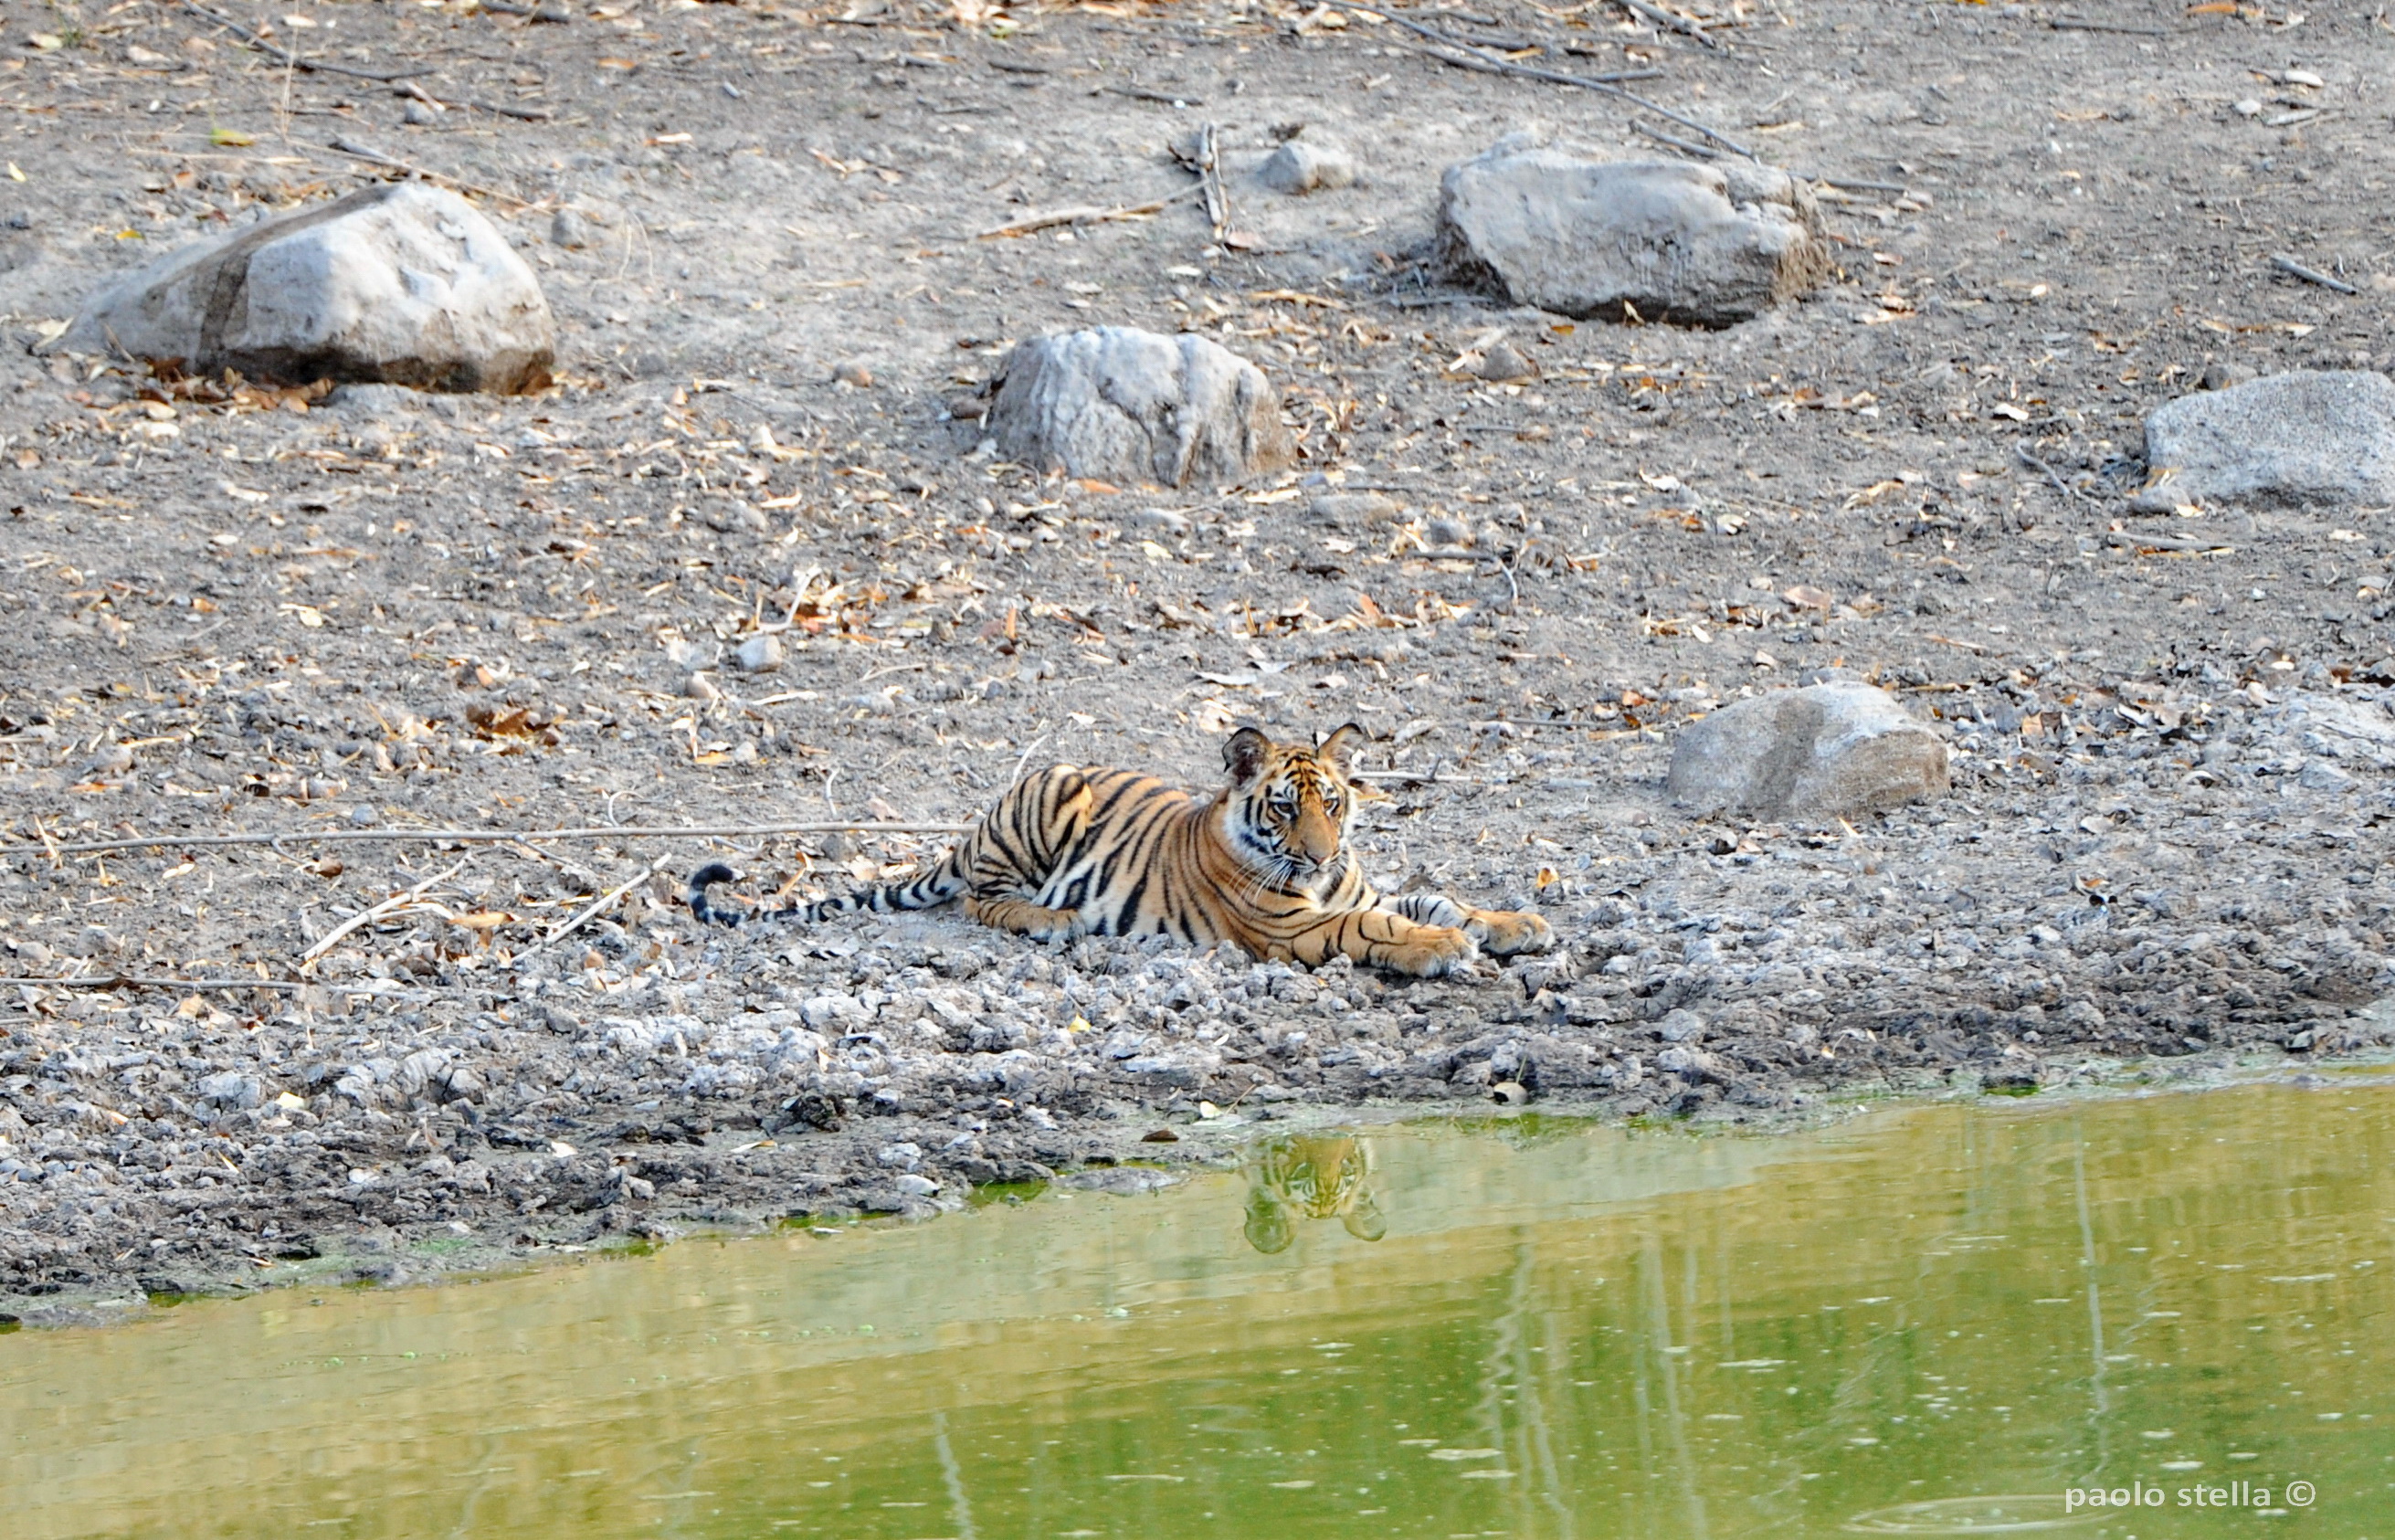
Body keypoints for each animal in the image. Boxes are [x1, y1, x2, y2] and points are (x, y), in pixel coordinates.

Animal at [685, 722, 1556, 978]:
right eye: (1285, 807)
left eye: (1334, 804)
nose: (1319, 857)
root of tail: (972, 827)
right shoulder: (1294, 926)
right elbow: (1383, 928)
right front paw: (1441, 948)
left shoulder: (1356, 890)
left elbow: (1443, 897)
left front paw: (1518, 925)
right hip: (1044, 801)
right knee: (980, 900)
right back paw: (1050, 921)